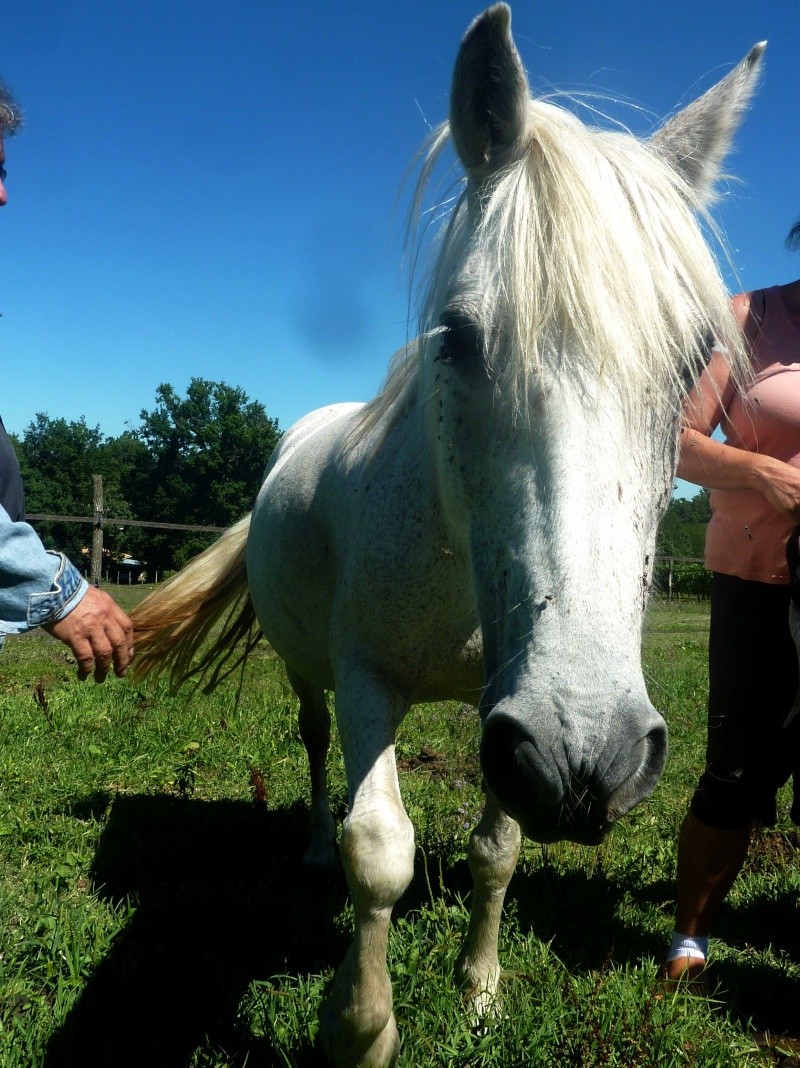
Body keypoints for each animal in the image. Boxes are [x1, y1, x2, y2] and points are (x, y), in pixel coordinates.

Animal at [130, 10, 760, 1068]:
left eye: (691, 364)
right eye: (457, 338)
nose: (592, 758)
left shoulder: (506, 713)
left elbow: (495, 851)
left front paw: (479, 990)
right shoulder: (369, 681)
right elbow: (378, 850)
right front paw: (360, 1026)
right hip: (309, 671)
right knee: (312, 751)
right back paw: (309, 844)